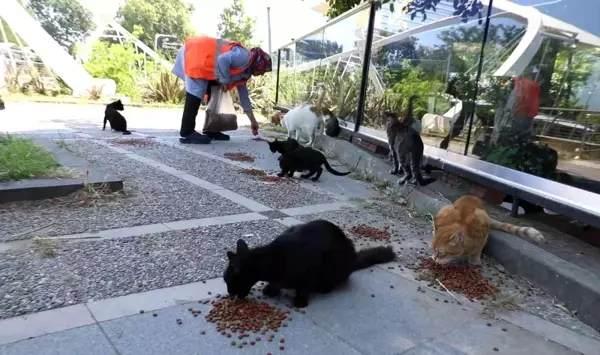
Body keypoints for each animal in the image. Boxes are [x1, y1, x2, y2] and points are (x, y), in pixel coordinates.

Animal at [223, 221, 396, 308]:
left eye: (228, 281)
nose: (229, 293)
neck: (272, 260)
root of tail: (352, 259)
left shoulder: (311, 271)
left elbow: (304, 287)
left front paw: (301, 300)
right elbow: (277, 284)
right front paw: (272, 288)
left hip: (334, 264)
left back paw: (324, 288)